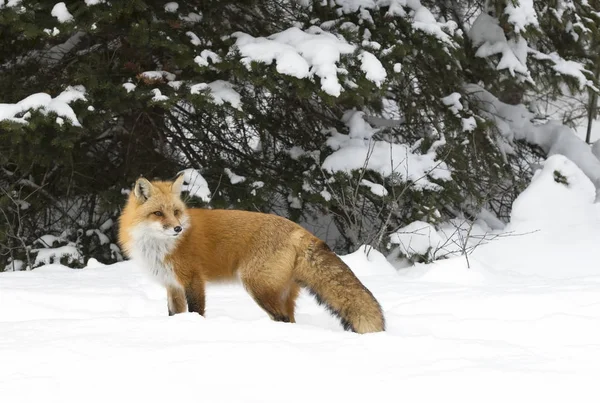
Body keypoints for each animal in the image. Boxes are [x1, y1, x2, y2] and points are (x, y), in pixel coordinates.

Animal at [118, 174, 384, 334]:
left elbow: (197, 312)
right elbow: (174, 314)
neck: (158, 247)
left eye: (175, 212)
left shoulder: (194, 280)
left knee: (282, 319)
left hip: (257, 287)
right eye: (158, 213)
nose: (178, 229)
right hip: (280, 292)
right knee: (290, 320)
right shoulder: (171, 285)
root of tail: (299, 230)